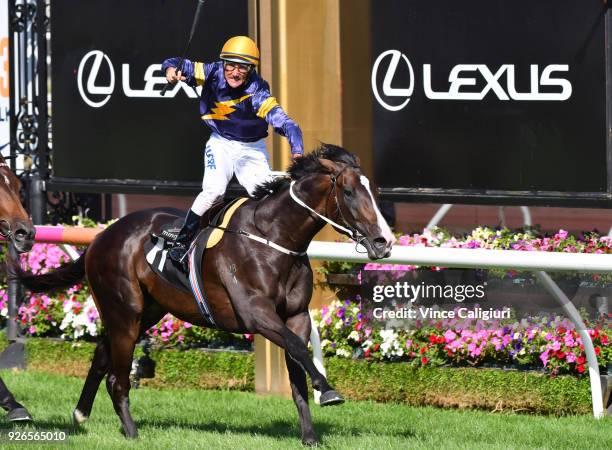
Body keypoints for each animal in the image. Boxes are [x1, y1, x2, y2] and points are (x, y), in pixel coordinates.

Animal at [16, 144, 396, 442]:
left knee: (101, 355)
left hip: (146, 312)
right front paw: (328, 390)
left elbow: (297, 370)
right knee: (117, 377)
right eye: (349, 192)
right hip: (124, 311)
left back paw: (81, 414)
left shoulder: (296, 315)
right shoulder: (256, 313)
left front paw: (310, 436)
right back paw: (131, 431)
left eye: (374, 192)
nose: (384, 241)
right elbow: (299, 350)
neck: (273, 238)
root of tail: (101, 237)